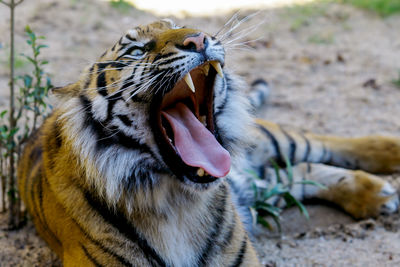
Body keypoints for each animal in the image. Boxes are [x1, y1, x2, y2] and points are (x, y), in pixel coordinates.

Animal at [17, 19, 400, 267]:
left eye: (179, 24)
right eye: (136, 51)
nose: (199, 38)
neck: (175, 202)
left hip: (270, 139)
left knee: (315, 143)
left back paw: (388, 157)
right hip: (259, 187)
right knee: (297, 173)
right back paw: (376, 196)